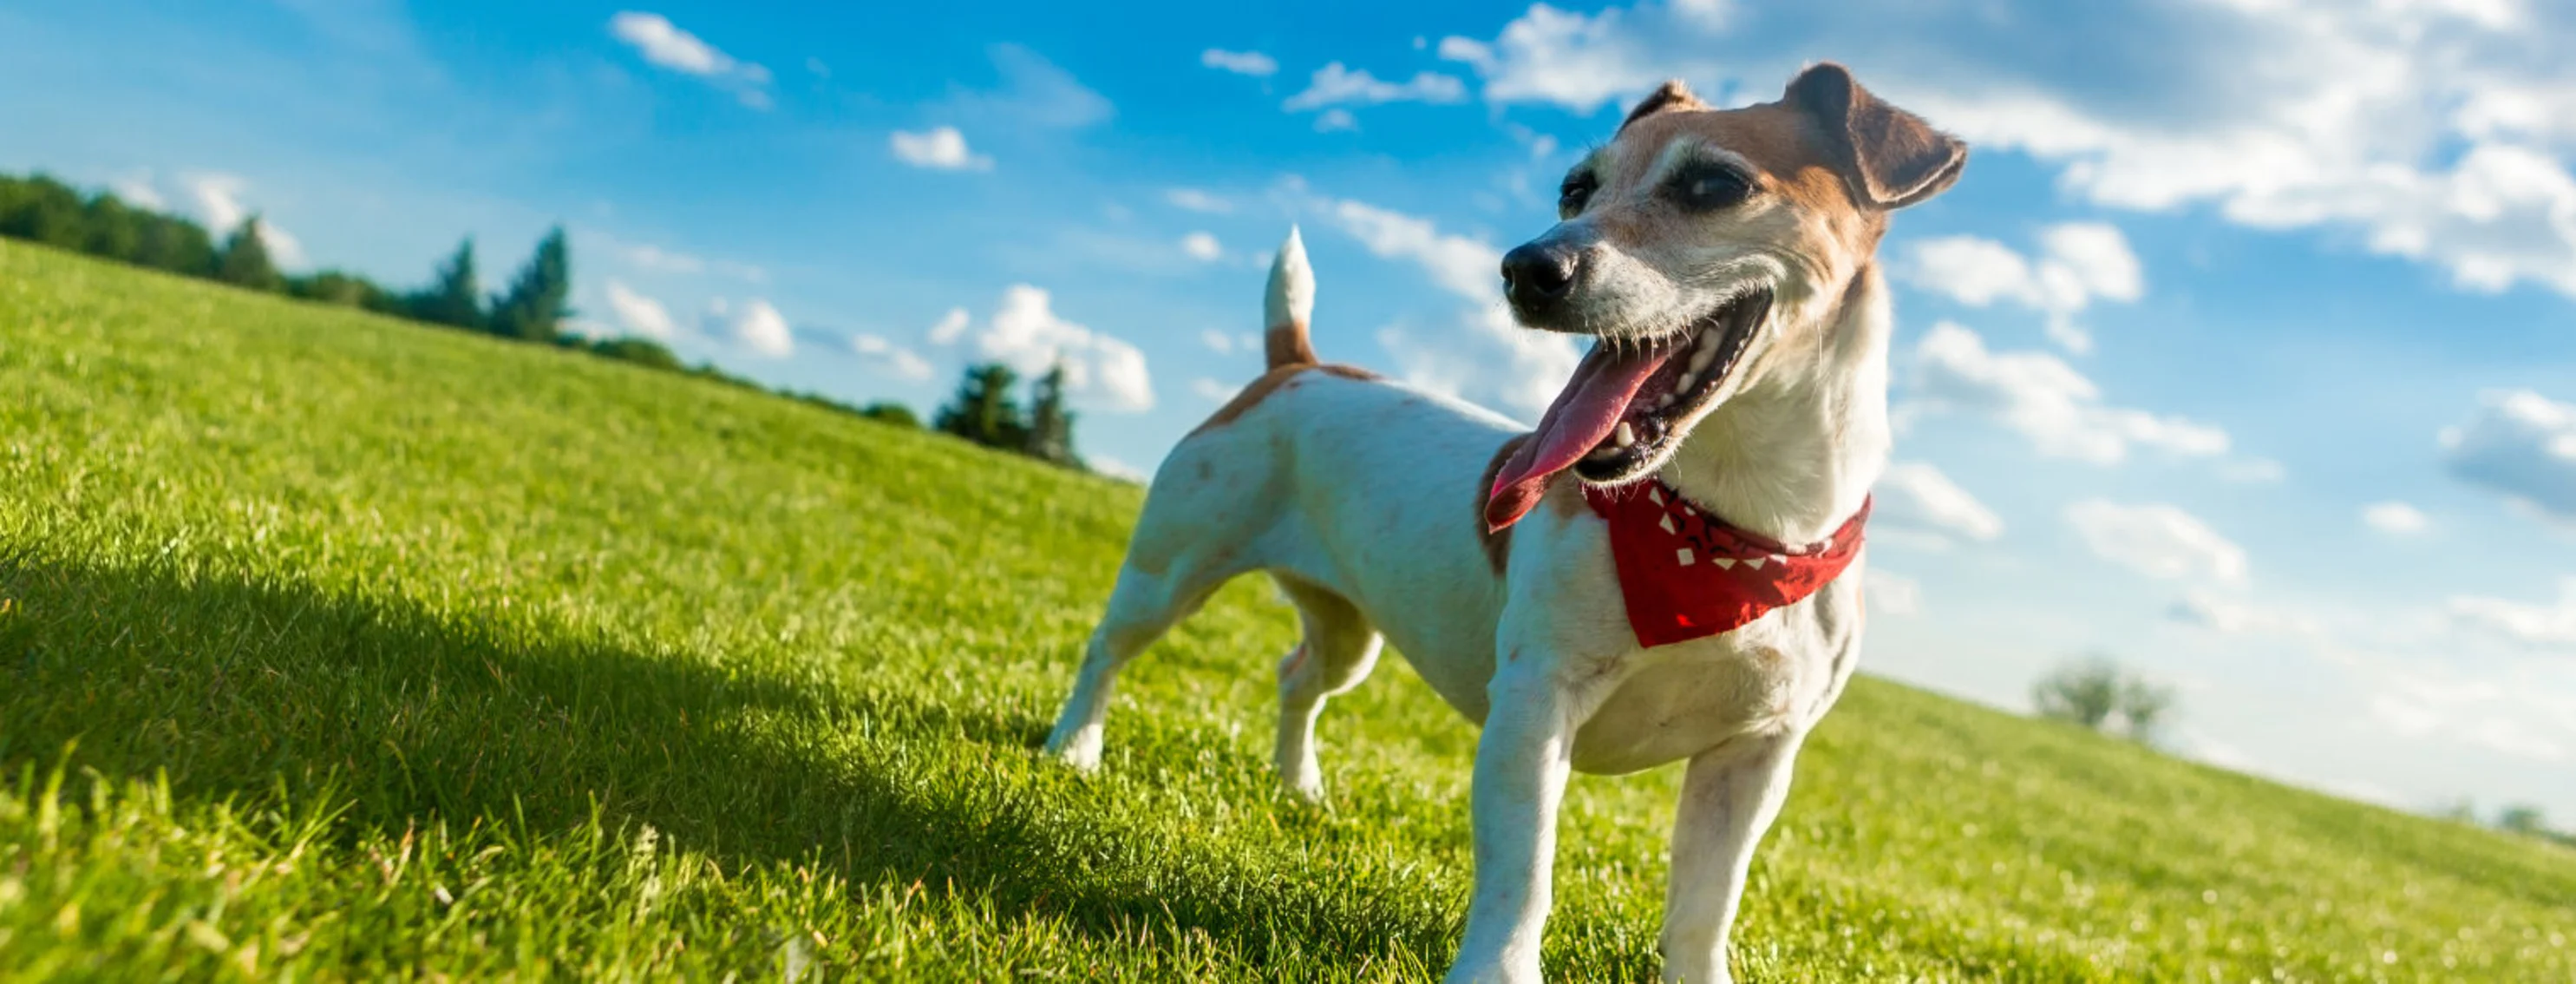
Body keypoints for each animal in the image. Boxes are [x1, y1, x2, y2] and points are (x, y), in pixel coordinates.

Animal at [1035, 63, 1958, 984]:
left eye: (1714, 185)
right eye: (1574, 188)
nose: (1527, 266)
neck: (1727, 533)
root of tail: (1297, 365)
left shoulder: (1759, 753)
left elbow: (1707, 906)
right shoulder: (1535, 702)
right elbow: (1524, 868)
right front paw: (1498, 971)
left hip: (1348, 631)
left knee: (1298, 676)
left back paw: (1299, 786)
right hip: (1171, 566)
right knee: (1108, 649)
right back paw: (1073, 748)